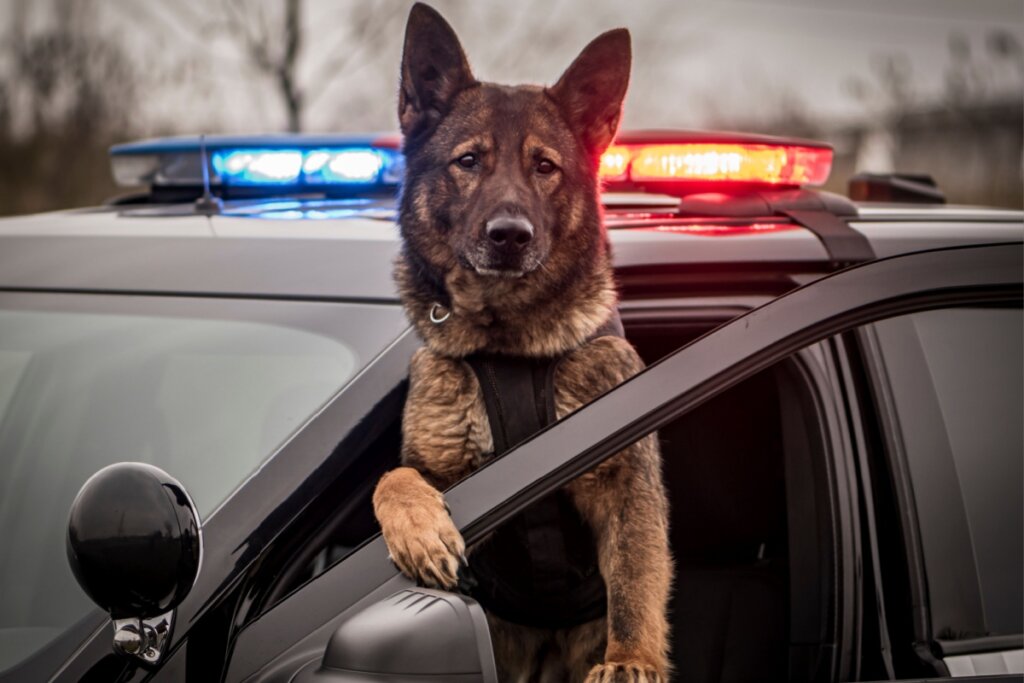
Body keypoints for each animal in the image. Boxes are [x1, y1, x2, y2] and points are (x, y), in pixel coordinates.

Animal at [374, 3, 671, 679]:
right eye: (468, 162)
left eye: (544, 166)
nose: (509, 235)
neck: (508, 345)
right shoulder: (435, 465)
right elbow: (392, 477)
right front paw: (419, 530)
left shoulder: (626, 480)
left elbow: (636, 576)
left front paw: (631, 659)